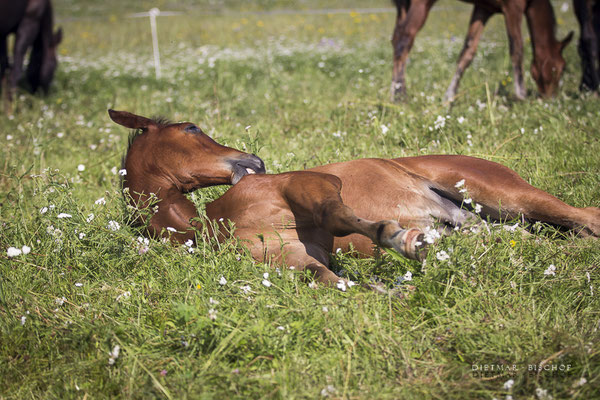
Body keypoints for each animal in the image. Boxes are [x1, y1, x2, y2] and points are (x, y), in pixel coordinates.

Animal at [392, 0, 576, 102]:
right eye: (560, 69)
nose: (550, 99)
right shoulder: (513, 7)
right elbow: (517, 49)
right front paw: (521, 95)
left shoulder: (484, 9)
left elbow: (468, 52)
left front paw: (449, 97)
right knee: (404, 39)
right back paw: (399, 97)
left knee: (396, 38)